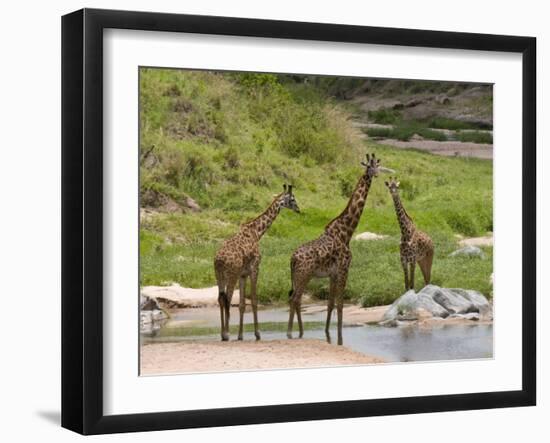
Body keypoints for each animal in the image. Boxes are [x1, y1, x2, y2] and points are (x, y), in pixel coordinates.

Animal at [216, 186, 302, 342]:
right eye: (292, 199)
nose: (299, 209)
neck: (257, 231)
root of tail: (219, 260)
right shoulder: (255, 268)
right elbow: (254, 300)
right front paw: (257, 333)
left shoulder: (243, 274)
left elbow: (242, 304)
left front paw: (240, 335)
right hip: (231, 275)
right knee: (227, 299)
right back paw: (226, 334)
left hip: (219, 275)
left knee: (220, 298)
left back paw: (223, 334)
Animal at [288, 154, 384, 346]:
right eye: (370, 167)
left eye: (377, 165)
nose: (376, 174)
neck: (346, 232)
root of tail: (292, 258)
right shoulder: (344, 269)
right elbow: (340, 304)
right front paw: (340, 336)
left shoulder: (332, 273)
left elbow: (330, 303)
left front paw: (327, 333)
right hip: (304, 274)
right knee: (295, 299)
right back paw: (291, 333)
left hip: (299, 276)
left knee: (295, 299)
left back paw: (299, 332)